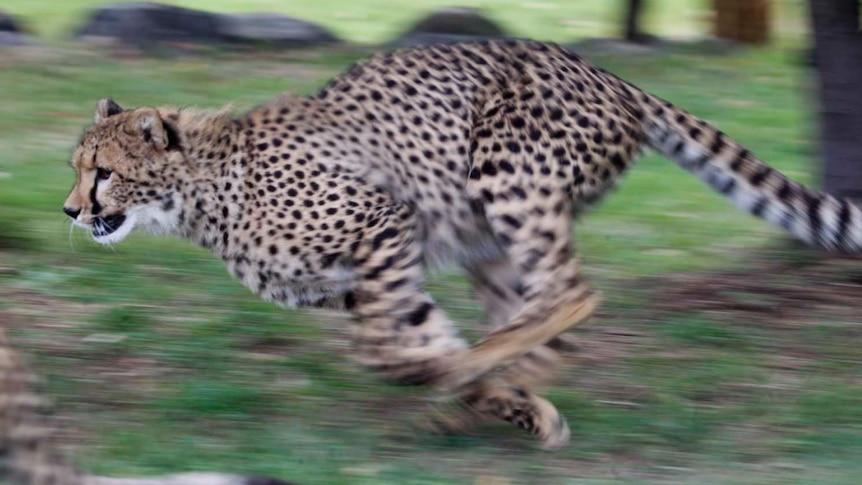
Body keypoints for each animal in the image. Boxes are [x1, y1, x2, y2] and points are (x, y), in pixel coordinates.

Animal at [62, 40, 862, 450]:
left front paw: (447, 380)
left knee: (570, 293)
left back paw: (481, 378)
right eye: (75, 167)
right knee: (542, 313)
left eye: (104, 172)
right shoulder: (358, 280)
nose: (70, 210)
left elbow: (386, 350)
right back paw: (500, 389)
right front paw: (494, 397)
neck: (200, 192)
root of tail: (606, 71)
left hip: (503, 172)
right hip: (488, 241)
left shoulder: (385, 221)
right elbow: (416, 334)